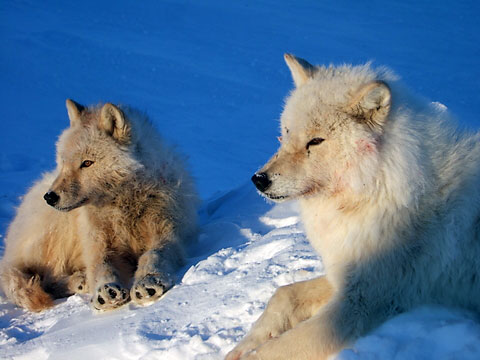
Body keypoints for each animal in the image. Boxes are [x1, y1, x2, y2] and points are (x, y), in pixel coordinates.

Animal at [0, 99, 198, 312]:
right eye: (63, 163)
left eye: (87, 163)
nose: (50, 197)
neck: (125, 206)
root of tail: (9, 253)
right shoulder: (97, 242)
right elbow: (101, 266)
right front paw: (106, 289)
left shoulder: (167, 233)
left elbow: (154, 254)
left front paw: (148, 281)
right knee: (47, 278)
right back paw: (81, 280)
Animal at [227, 54, 480, 360]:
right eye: (285, 133)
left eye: (315, 141)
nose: (259, 179)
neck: (377, 186)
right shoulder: (345, 277)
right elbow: (282, 295)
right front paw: (241, 346)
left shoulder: (361, 302)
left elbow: (275, 350)